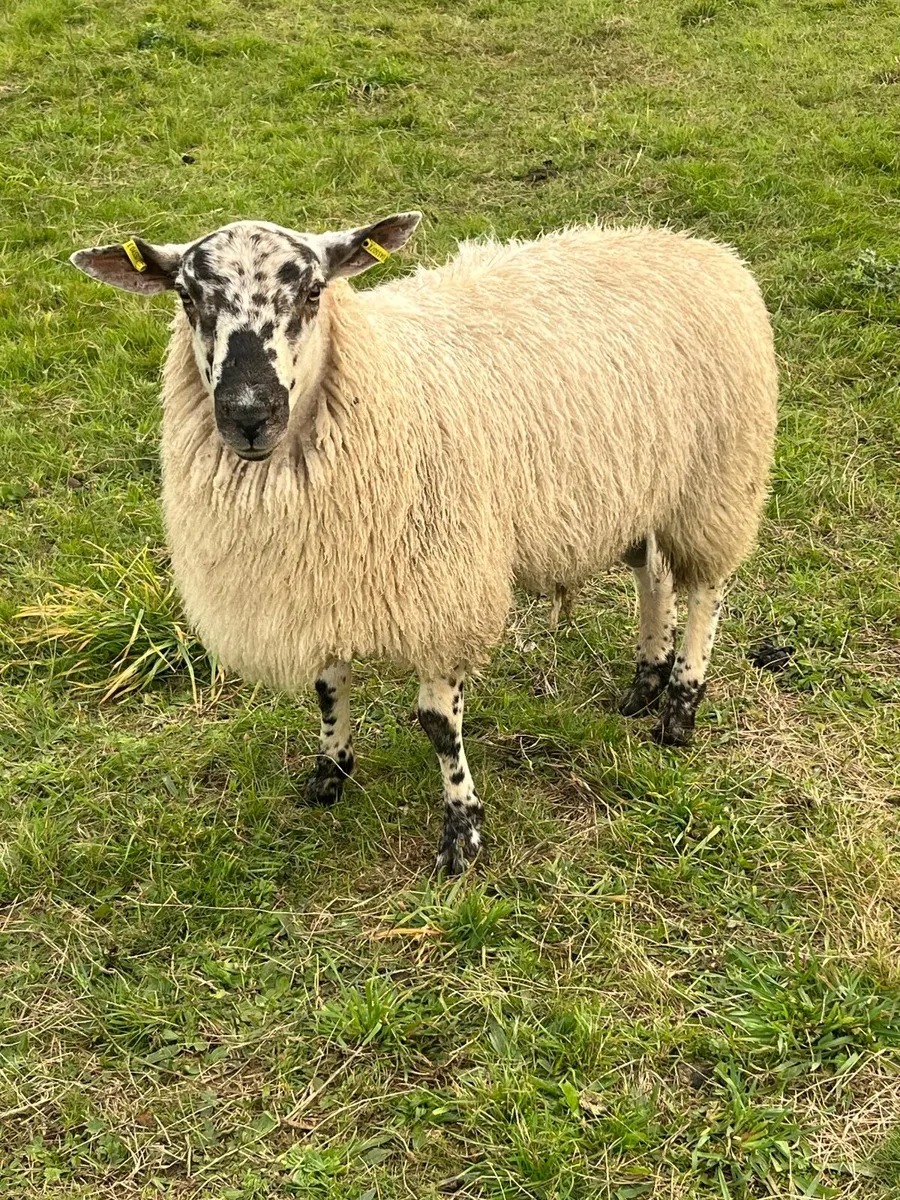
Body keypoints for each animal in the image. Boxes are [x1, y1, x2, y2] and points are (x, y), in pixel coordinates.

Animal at [70, 215, 778, 874]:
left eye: (313, 292)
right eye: (187, 298)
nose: (248, 415)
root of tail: (692, 244)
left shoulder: (444, 587)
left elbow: (439, 725)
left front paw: (462, 832)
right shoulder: (324, 577)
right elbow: (328, 688)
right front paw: (330, 773)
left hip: (716, 478)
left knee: (706, 588)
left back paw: (680, 705)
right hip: (641, 487)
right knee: (653, 575)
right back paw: (645, 681)